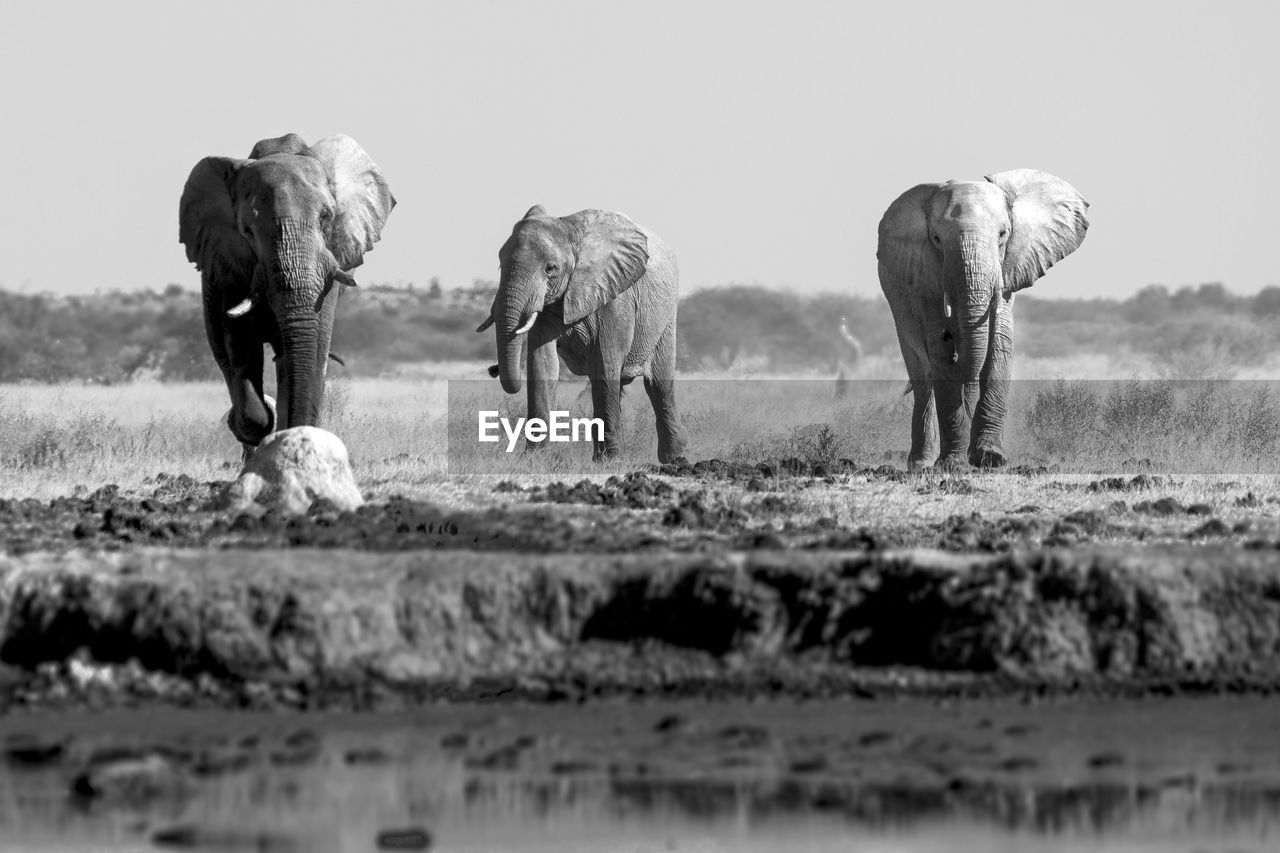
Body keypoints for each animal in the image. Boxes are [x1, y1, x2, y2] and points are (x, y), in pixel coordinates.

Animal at [177, 131, 391, 458]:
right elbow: (239, 341)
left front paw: (295, 435)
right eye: (247, 230)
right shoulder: (230, 267)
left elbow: (315, 346)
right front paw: (262, 423)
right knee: (226, 356)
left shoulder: (329, 273)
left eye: (326, 217)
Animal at [476, 204, 686, 458]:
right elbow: (542, 363)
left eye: (550, 268)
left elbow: (604, 363)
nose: (492, 369)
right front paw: (534, 458)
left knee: (658, 384)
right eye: (500, 264)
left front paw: (612, 461)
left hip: (666, 317)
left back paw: (674, 458)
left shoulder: (614, 294)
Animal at [880, 169, 1090, 468]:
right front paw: (952, 464)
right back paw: (921, 463)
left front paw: (989, 458)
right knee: (923, 374)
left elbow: (998, 347)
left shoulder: (1007, 273)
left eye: (1003, 234)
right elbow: (940, 354)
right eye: (936, 239)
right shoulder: (927, 279)